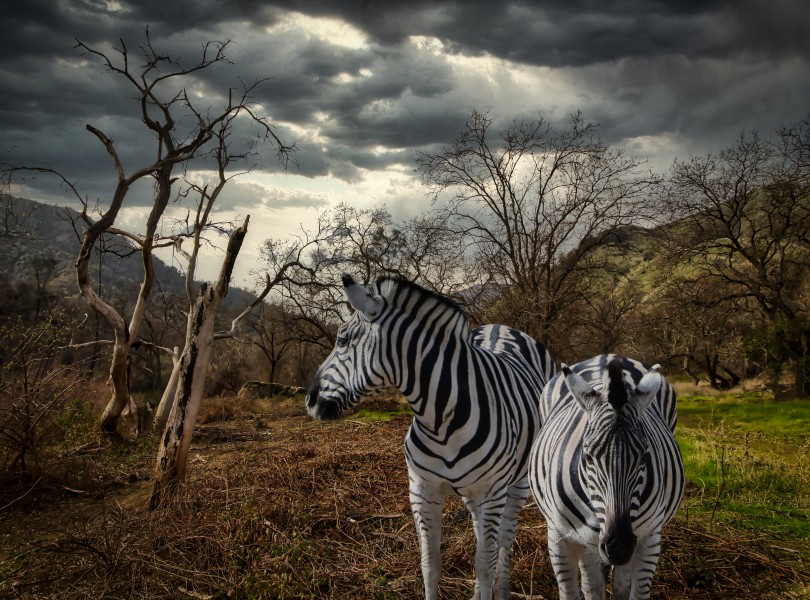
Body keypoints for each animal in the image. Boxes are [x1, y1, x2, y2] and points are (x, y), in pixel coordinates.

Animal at [304, 276, 556, 600]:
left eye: (343, 341)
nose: (309, 400)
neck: (440, 421)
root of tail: (500, 326)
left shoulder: (491, 491)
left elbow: (485, 565)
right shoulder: (422, 491)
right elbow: (430, 564)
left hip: (515, 485)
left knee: (503, 541)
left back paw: (501, 590)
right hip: (475, 495)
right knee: (483, 534)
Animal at [532, 356, 680, 600]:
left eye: (644, 456)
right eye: (588, 456)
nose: (618, 547)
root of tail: (606, 356)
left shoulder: (649, 538)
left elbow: (634, 591)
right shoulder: (559, 538)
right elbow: (575, 591)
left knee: (619, 582)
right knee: (592, 582)